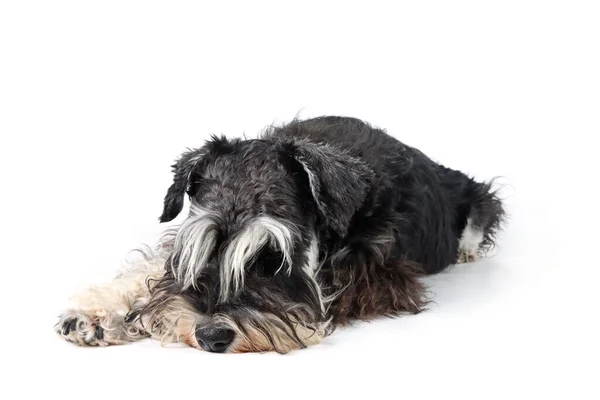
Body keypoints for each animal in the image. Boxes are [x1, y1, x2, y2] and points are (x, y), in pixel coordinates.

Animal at [56, 115, 506, 354]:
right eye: (202, 249)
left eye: (273, 257)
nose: (212, 336)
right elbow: (152, 268)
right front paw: (99, 314)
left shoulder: (376, 272)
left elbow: (328, 293)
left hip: (471, 197)